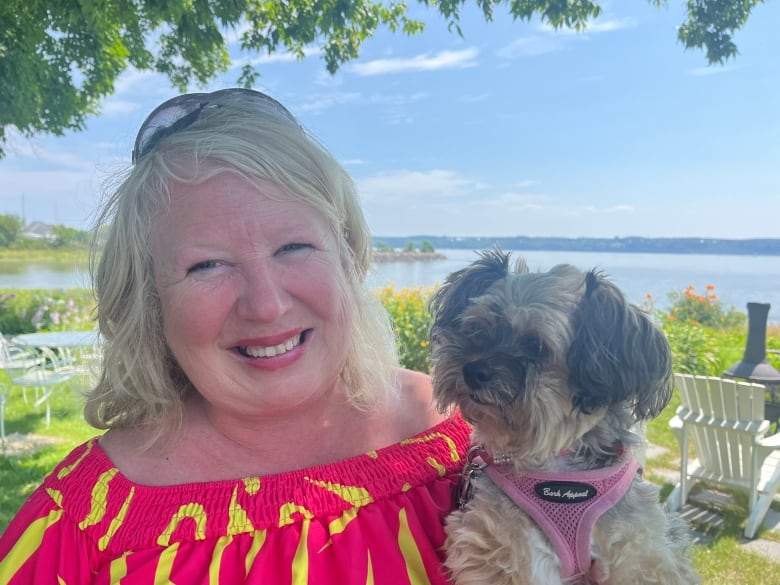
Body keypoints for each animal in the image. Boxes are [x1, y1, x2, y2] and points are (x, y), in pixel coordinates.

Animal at [430, 249, 696, 584]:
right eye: (477, 329)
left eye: (536, 345)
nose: (473, 370)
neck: (556, 456)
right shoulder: (506, 547)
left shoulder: (642, 551)